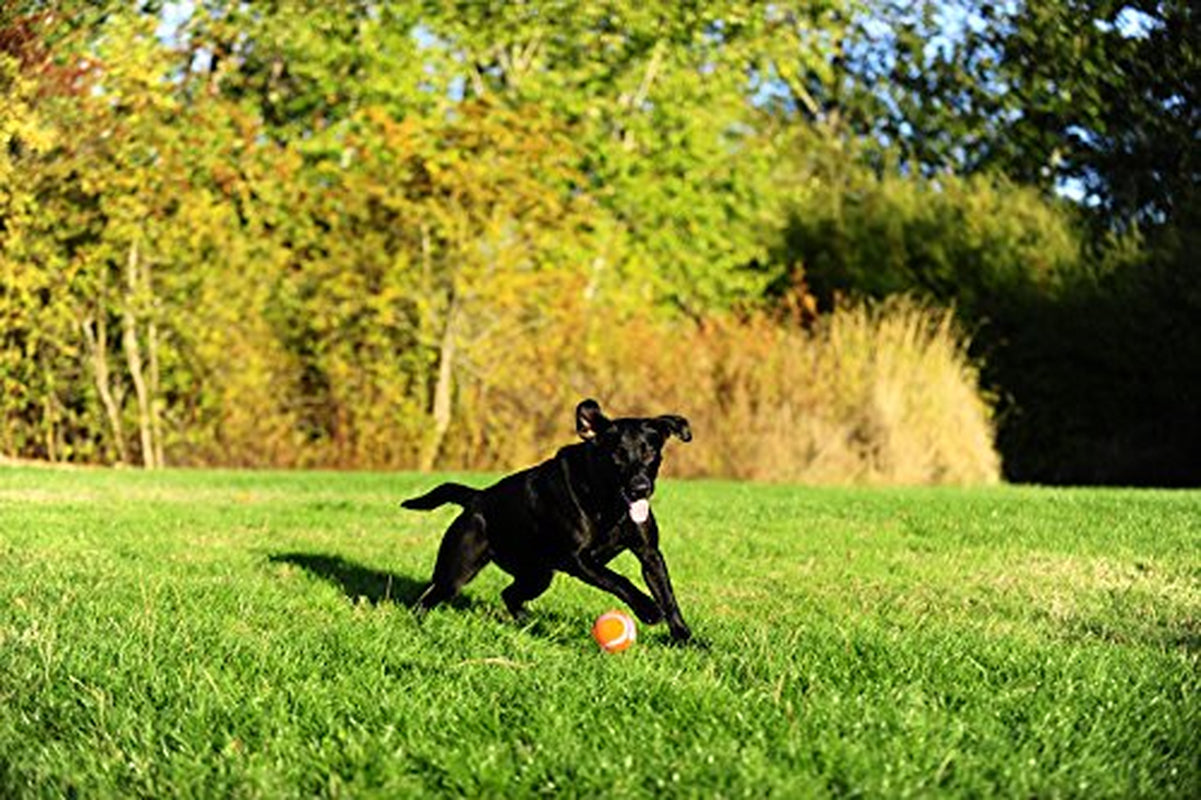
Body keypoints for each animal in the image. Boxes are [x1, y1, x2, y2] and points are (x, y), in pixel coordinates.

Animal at [398, 398, 691, 643]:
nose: (640, 488)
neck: (609, 503)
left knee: (509, 594)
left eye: (649, 452)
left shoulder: (649, 554)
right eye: (616, 454)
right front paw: (648, 609)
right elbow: (619, 579)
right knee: (428, 597)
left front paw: (686, 640)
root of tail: (477, 497)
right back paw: (419, 625)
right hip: (457, 570)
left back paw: (529, 622)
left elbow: (668, 597)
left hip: (538, 575)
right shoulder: (578, 559)